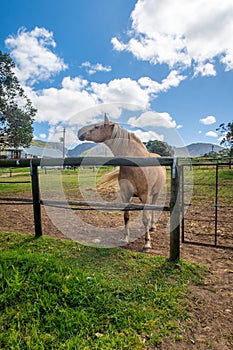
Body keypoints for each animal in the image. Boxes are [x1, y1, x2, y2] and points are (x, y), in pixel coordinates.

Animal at [78, 113, 166, 250]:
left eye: (97, 126)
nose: (79, 132)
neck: (135, 165)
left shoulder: (145, 195)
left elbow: (145, 218)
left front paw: (147, 243)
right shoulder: (125, 195)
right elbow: (126, 217)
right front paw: (125, 238)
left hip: (155, 193)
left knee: (152, 209)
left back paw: (152, 227)